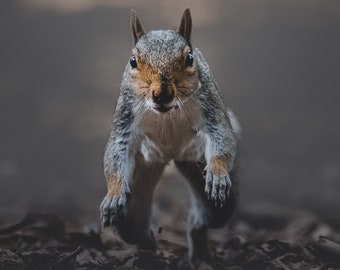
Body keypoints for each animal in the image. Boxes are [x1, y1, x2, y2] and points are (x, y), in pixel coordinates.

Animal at [99, 8, 240, 266]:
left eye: (189, 59)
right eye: (133, 61)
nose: (161, 94)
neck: (167, 112)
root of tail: (171, 156)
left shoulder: (211, 107)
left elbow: (221, 135)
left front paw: (217, 173)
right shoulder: (125, 116)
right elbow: (116, 150)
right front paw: (113, 194)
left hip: (200, 171)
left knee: (208, 218)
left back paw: (198, 249)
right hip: (140, 179)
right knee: (134, 228)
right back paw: (148, 248)